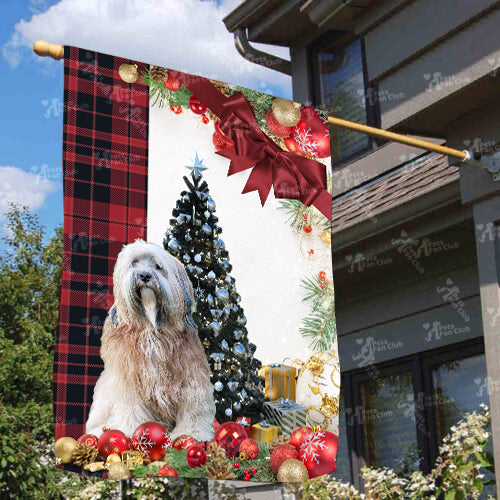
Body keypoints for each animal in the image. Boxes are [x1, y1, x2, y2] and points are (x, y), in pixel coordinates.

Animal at [86, 240, 215, 440]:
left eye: (157, 266)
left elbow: (192, 405)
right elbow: (130, 406)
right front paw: (129, 429)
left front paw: (192, 432)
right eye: (134, 263)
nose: (145, 275)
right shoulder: (126, 378)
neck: (150, 327)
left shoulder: (191, 373)